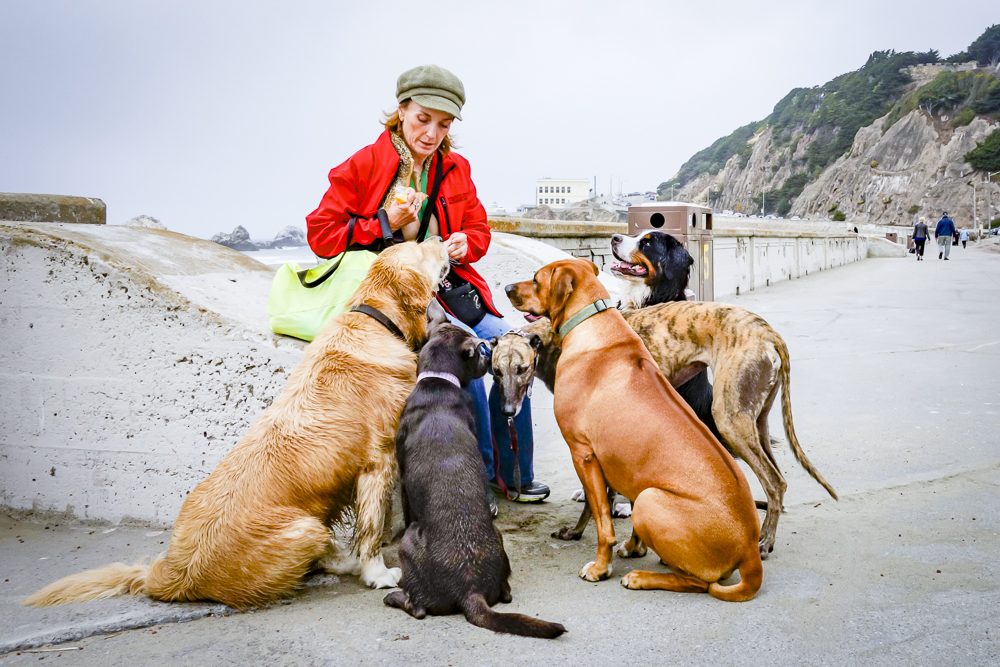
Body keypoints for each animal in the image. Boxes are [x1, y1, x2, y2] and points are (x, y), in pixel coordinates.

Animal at [24, 240, 450, 612]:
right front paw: (377, 574)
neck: (376, 320)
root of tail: (168, 574)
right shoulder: (377, 462)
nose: (444, 239)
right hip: (305, 527)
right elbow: (372, 528)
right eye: (421, 248)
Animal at [504, 260, 760, 600]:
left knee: (697, 583)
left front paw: (601, 567)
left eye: (535, 280)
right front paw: (634, 547)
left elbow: (602, 519)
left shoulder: (584, 454)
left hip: (652, 498)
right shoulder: (616, 460)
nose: (506, 288)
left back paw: (641, 577)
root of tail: (750, 550)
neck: (593, 321)